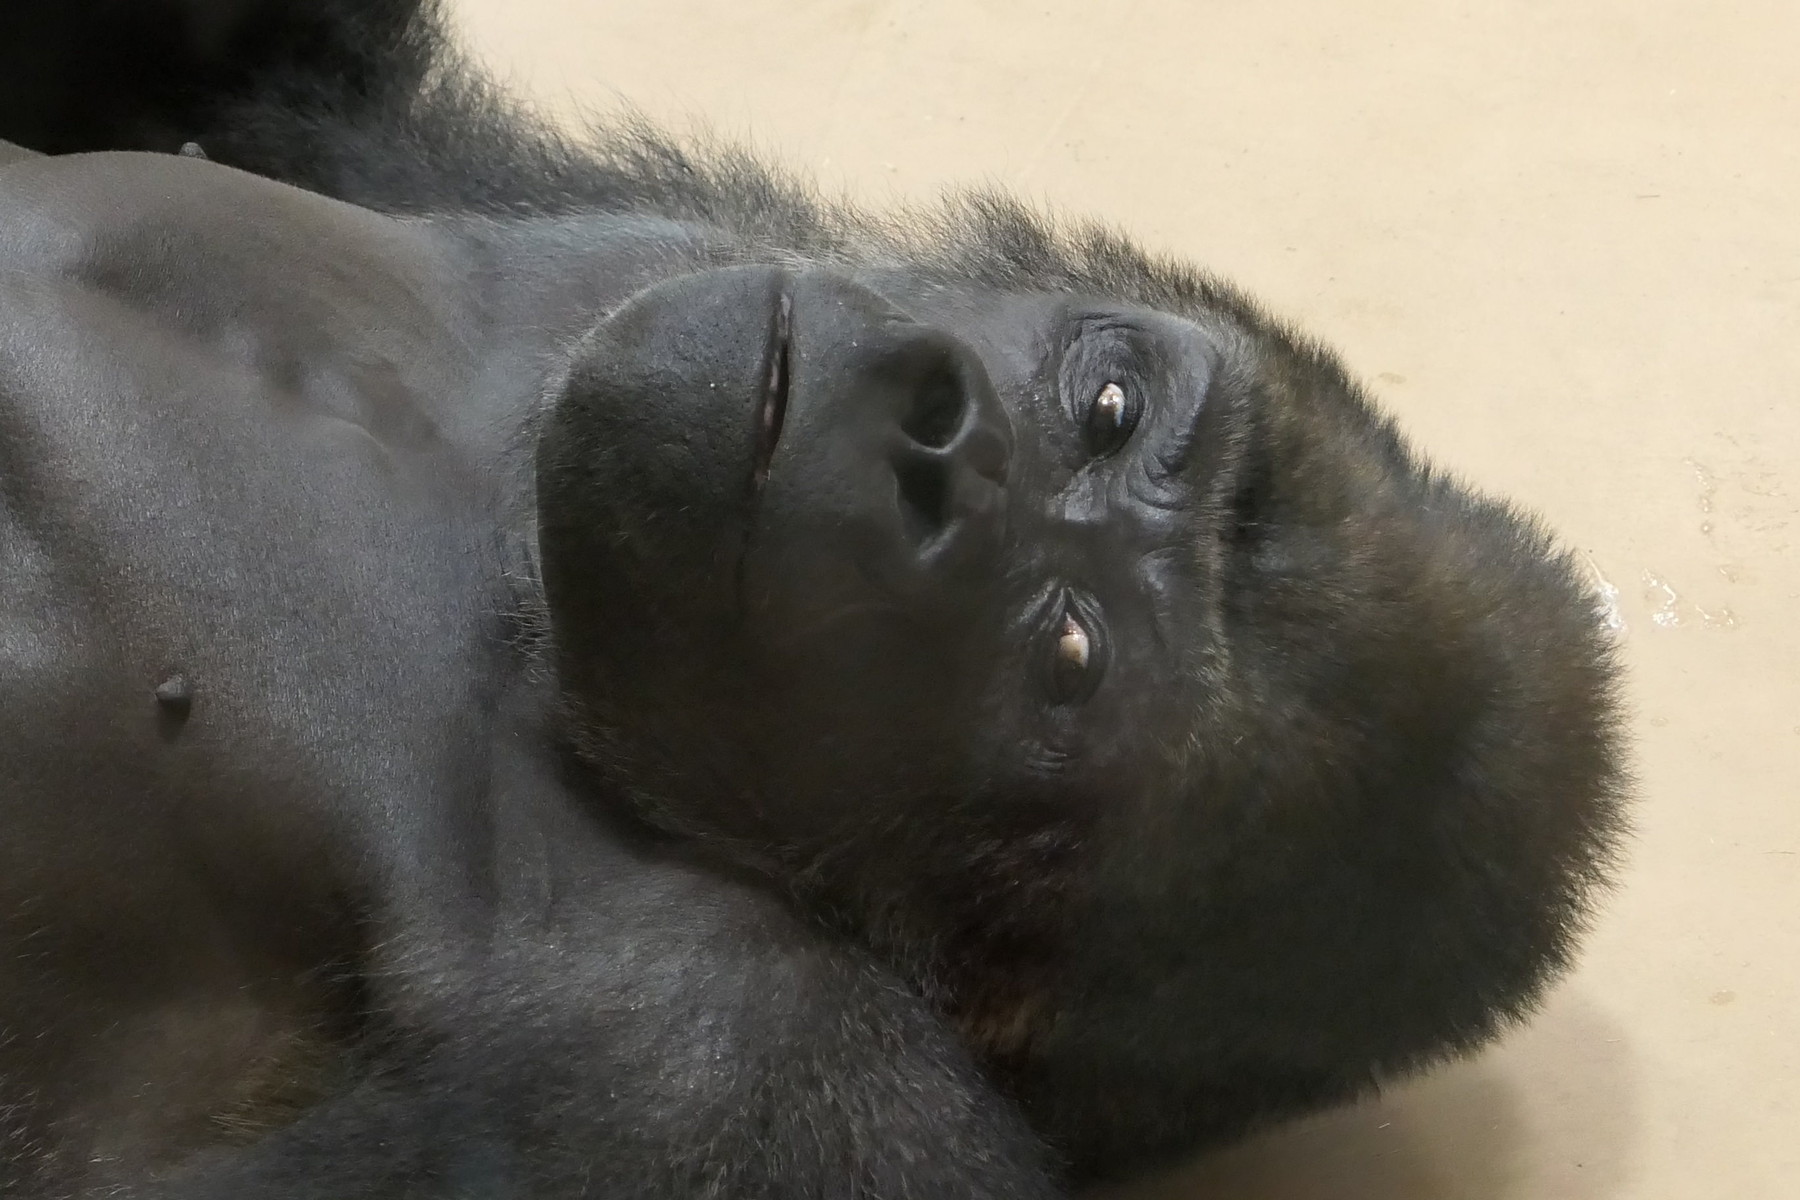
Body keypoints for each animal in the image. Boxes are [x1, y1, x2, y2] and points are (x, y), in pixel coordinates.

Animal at [0, 2, 1634, 1200]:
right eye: (1109, 404)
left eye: (1068, 651)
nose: (938, 435)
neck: (513, 588)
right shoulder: (673, 225)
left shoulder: (753, 1083)